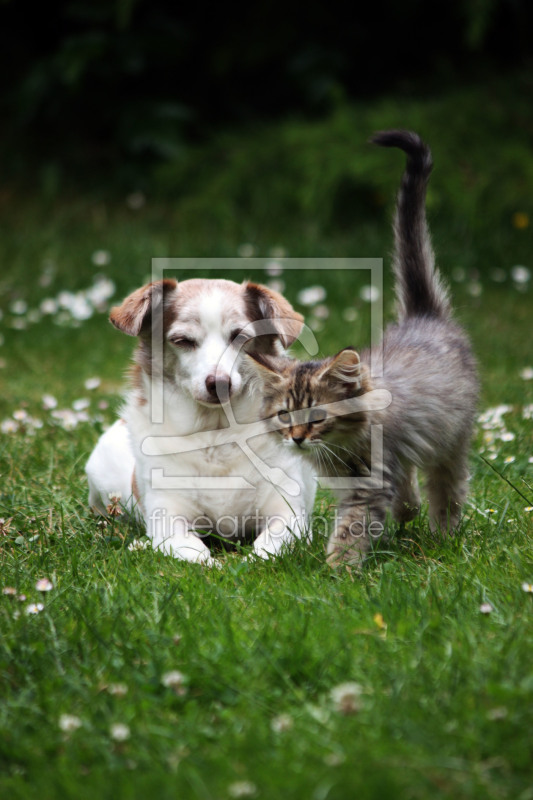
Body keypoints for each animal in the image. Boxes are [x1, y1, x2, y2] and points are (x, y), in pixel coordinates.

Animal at [84, 278, 314, 564]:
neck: (215, 433)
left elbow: (266, 549)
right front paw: (212, 564)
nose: (219, 383)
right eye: (182, 340)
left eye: (239, 336)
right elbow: (196, 554)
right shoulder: (168, 521)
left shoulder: (289, 516)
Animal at [251, 131, 480, 564]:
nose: (298, 438)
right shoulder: (367, 475)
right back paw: (410, 514)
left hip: (452, 438)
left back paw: (444, 535)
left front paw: (338, 571)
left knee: (448, 488)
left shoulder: (368, 484)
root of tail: (423, 315)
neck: (340, 450)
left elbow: (351, 529)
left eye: (318, 416)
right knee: (412, 485)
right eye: (285, 415)